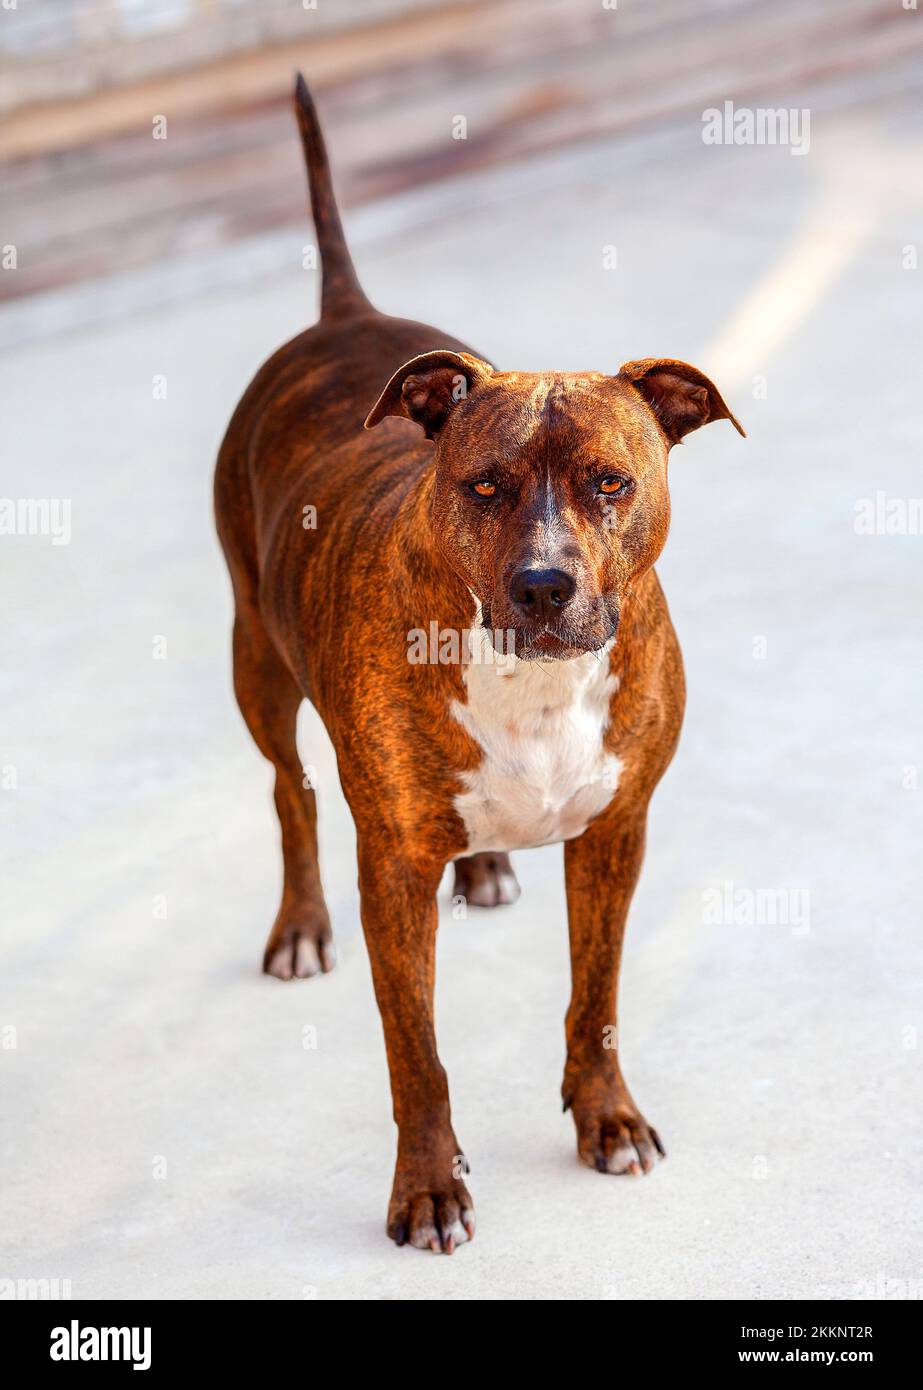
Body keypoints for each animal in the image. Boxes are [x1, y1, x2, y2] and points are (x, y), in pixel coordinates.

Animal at [214, 76, 745, 1256]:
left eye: (608, 481)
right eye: (484, 486)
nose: (543, 586)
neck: (529, 680)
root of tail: (346, 316)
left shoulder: (615, 833)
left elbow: (594, 1000)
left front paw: (607, 1119)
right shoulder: (392, 870)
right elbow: (414, 1051)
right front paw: (426, 1188)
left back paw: (489, 863)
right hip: (254, 655)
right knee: (287, 789)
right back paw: (299, 928)